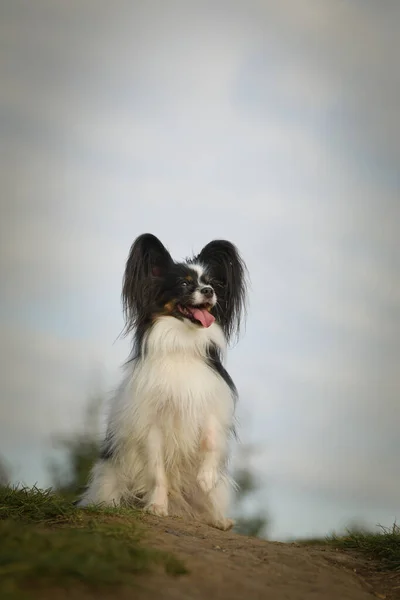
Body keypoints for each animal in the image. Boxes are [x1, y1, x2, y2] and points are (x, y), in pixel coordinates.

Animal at [77, 234, 247, 528]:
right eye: (184, 284)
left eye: (212, 283)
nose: (209, 292)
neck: (182, 344)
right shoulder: (151, 422)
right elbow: (157, 471)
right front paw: (157, 506)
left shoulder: (212, 403)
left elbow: (211, 441)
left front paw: (207, 477)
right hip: (111, 475)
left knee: (208, 501)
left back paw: (217, 518)